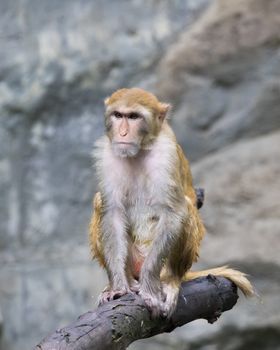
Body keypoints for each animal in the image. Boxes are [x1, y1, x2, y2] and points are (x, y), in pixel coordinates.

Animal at [89, 87, 254, 318]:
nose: (122, 133)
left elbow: (173, 212)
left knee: (185, 206)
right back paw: (128, 280)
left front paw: (150, 289)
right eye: (118, 115)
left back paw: (169, 281)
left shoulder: (166, 156)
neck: (140, 151)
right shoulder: (107, 155)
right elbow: (112, 213)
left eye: (134, 117)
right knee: (99, 202)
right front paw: (119, 286)